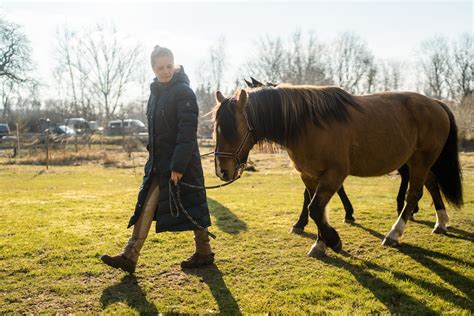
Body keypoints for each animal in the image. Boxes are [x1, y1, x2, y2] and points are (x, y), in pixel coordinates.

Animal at [212, 84, 462, 256]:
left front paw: (333, 240)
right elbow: (317, 210)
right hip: (418, 162)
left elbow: (315, 209)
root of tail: (436, 103)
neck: (307, 124)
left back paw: (394, 234)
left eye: (232, 130)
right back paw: (441, 222)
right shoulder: (310, 176)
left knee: (413, 195)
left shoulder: (334, 174)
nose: (222, 171)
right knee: (431, 185)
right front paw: (320, 243)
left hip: (421, 161)